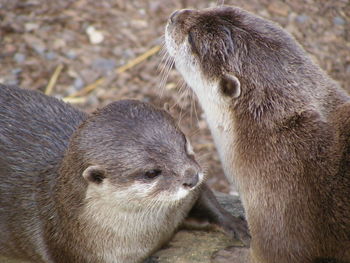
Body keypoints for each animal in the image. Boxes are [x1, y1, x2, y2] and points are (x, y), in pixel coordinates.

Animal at [165, 5, 350, 263]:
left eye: (191, 38)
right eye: (213, 7)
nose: (175, 15)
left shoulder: (281, 200)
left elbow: (276, 252)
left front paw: (231, 255)